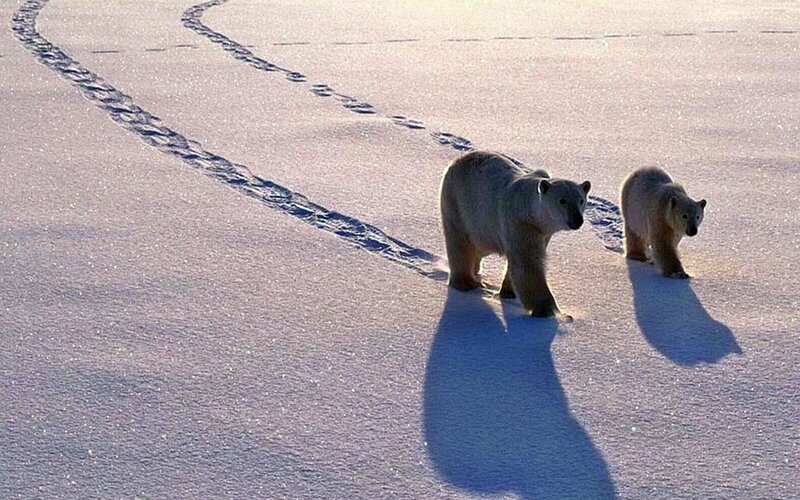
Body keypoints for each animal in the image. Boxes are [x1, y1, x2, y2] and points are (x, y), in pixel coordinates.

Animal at [439, 151, 591, 317]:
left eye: (581, 200)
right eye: (562, 201)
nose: (577, 220)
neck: (530, 209)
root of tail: (458, 160)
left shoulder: (543, 232)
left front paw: (508, 292)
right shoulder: (520, 223)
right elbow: (526, 263)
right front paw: (547, 310)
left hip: (482, 225)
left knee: (480, 246)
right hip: (458, 202)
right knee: (460, 242)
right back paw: (466, 283)